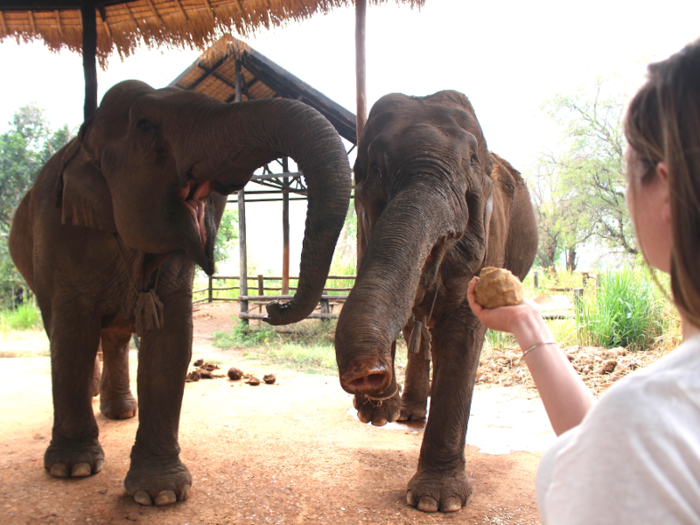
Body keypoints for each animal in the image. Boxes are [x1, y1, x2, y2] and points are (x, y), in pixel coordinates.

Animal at [8, 80, 352, 506]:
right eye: (145, 125)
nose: (273, 306)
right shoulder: (61, 236)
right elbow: (72, 334)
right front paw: (73, 470)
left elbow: (170, 338)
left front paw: (161, 495)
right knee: (59, 328)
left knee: (116, 336)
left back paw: (121, 412)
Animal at [334, 90, 536, 512]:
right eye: (373, 168)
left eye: (472, 161)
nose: (369, 376)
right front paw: (376, 413)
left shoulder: (490, 235)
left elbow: (462, 329)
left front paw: (436, 503)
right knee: (418, 326)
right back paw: (404, 412)